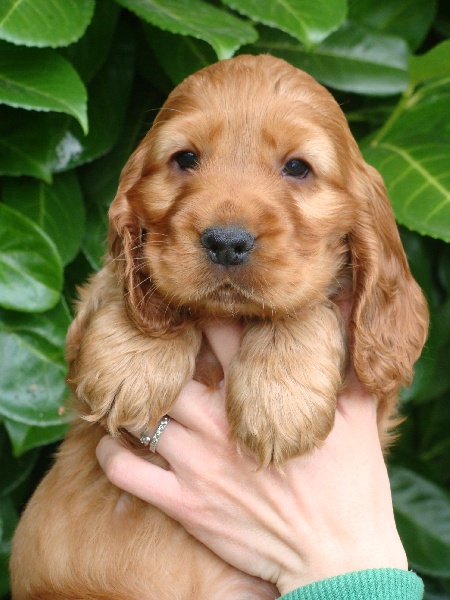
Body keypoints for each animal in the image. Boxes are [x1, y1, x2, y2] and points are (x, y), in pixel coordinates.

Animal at [10, 54, 428, 599]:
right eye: (185, 158)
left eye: (298, 167)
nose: (227, 241)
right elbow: (126, 286)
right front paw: (133, 361)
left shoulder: (378, 389)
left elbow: (306, 305)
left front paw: (279, 401)